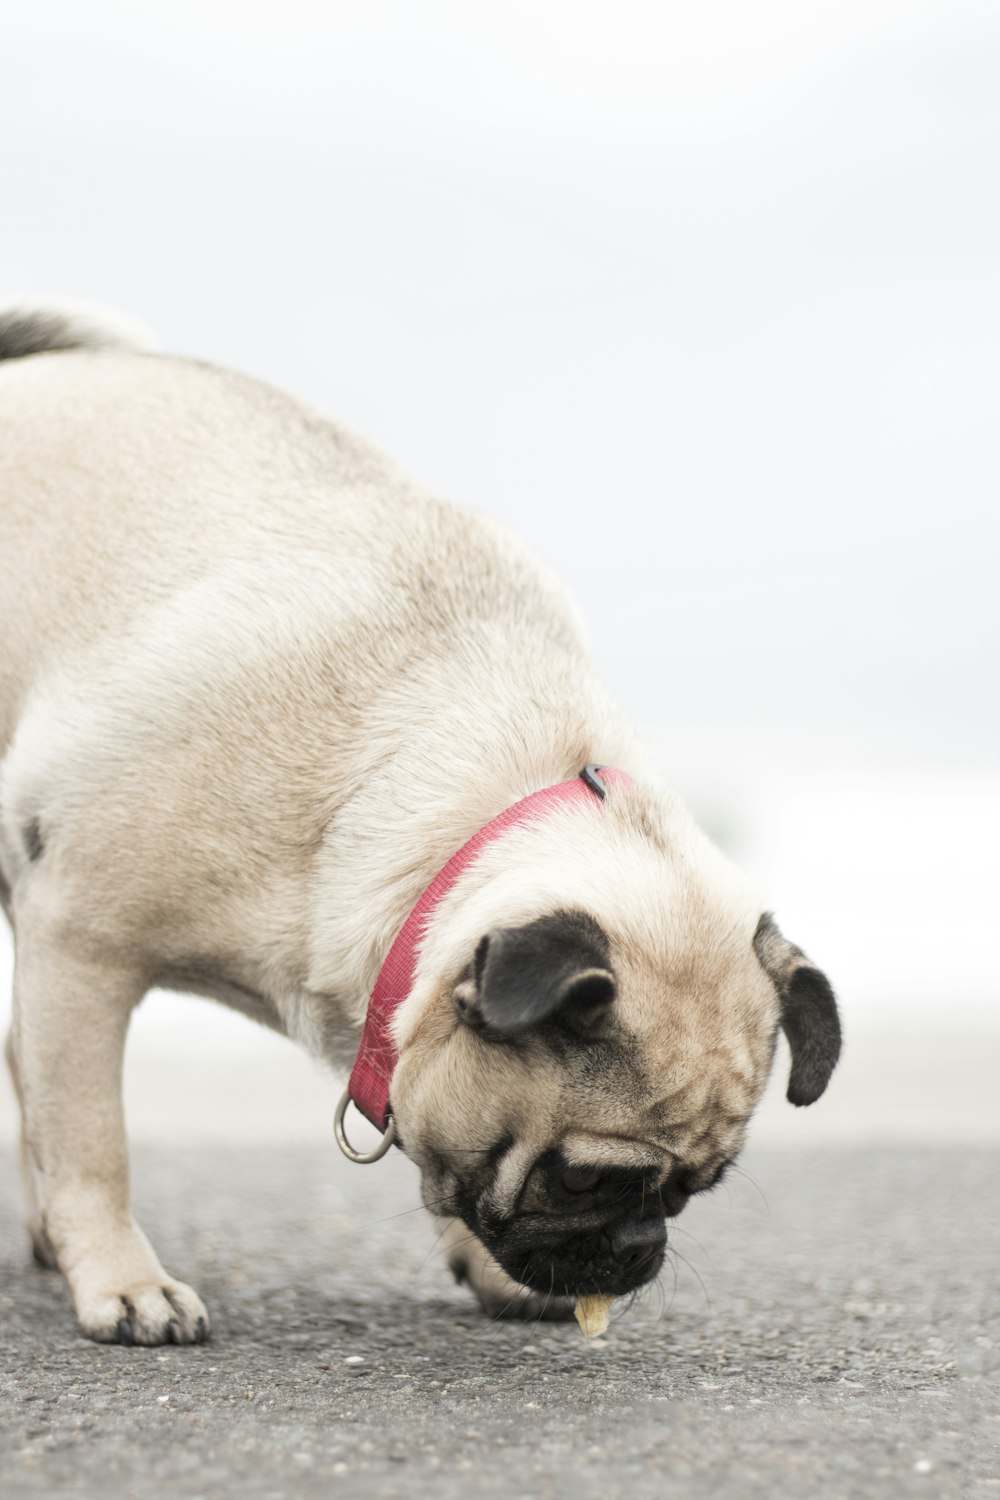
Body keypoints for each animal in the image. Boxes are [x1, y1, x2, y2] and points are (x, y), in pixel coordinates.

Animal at [0, 304, 845, 1350]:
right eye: (585, 1181)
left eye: (695, 1191)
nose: (641, 1250)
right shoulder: (82, 946)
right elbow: (92, 1140)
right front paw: (124, 1281)